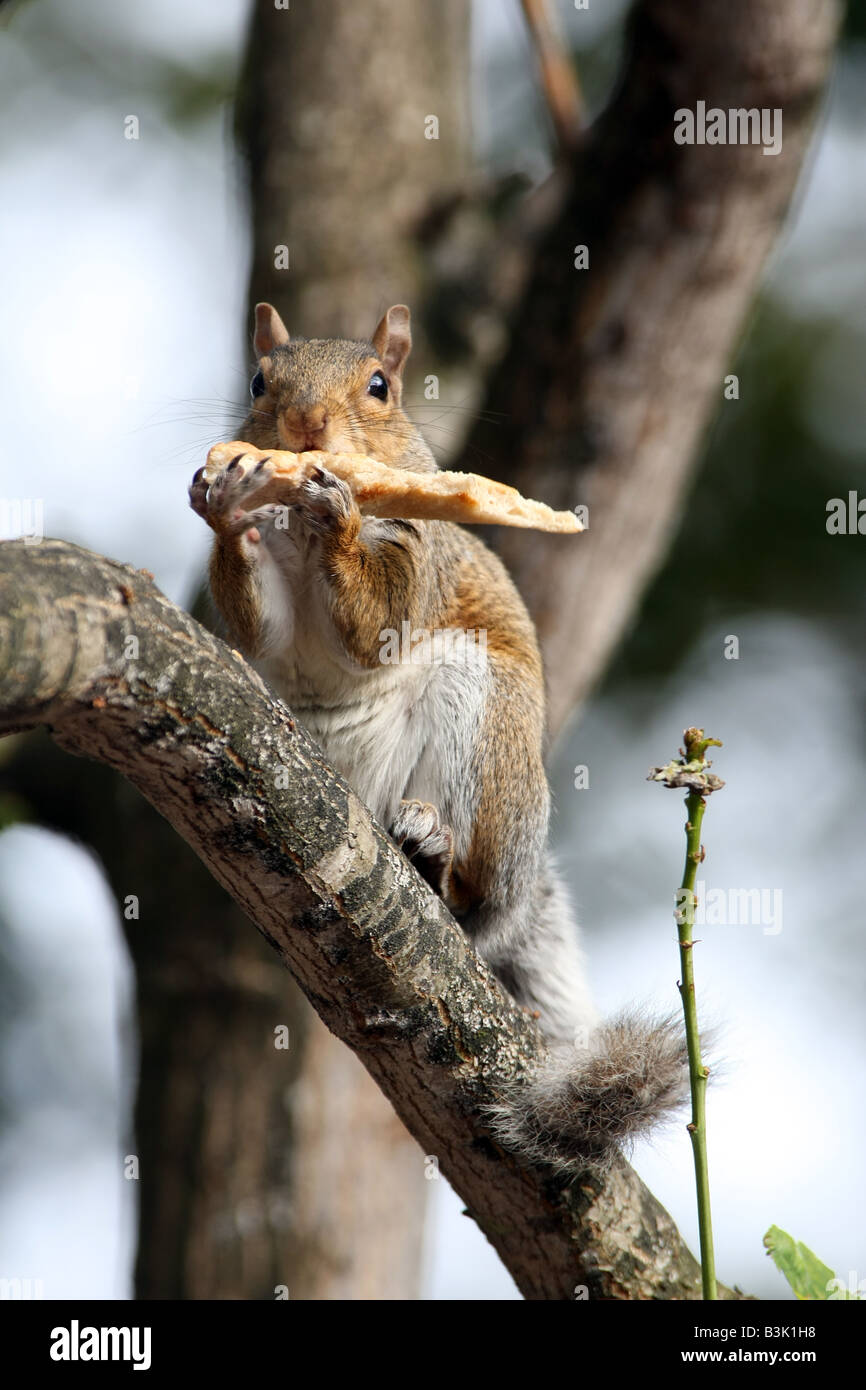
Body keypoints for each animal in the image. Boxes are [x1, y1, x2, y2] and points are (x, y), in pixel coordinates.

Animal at [191, 304, 692, 1173]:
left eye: (380, 387)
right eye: (258, 381)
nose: (306, 427)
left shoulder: (418, 554)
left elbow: (375, 621)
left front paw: (338, 509)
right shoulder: (268, 611)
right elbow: (261, 628)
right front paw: (227, 503)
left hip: (479, 726)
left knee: (468, 897)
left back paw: (432, 855)